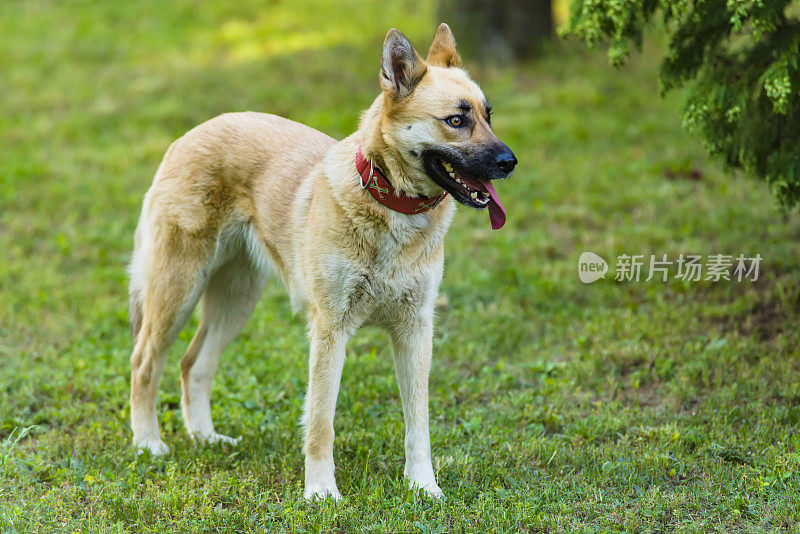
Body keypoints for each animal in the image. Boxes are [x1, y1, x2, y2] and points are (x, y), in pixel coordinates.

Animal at [130, 24, 520, 502]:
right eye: (456, 121)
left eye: (488, 115)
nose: (510, 162)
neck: (389, 203)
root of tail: (191, 133)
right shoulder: (330, 330)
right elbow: (320, 421)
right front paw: (320, 492)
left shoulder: (416, 330)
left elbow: (419, 423)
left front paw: (423, 487)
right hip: (179, 290)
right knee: (144, 362)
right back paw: (148, 443)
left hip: (236, 300)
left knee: (193, 364)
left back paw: (206, 438)